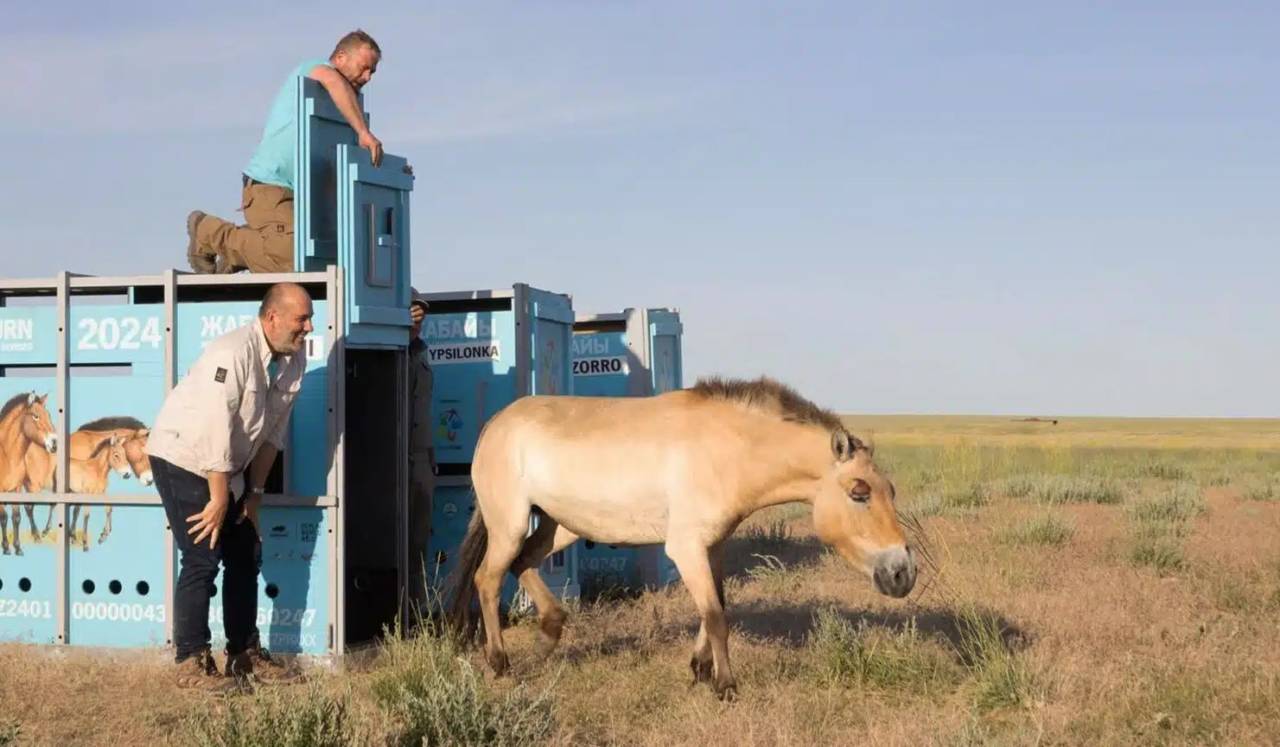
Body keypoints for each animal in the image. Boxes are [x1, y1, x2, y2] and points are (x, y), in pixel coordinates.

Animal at [0, 391, 57, 555]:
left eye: (48, 415)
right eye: (35, 416)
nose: (54, 443)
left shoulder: (17, 488)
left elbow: (16, 517)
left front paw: (18, 547)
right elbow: (4, 518)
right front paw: (6, 547)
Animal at [445, 376, 916, 695]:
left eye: (891, 491)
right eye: (859, 493)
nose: (903, 574)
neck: (726, 448)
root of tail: (495, 424)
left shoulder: (713, 547)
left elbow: (717, 606)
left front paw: (700, 668)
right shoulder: (686, 548)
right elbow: (716, 615)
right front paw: (725, 685)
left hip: (558, 526)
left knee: (524, 563)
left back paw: (548, 636)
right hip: (509, 524)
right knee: (488, 579)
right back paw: (499, 662)